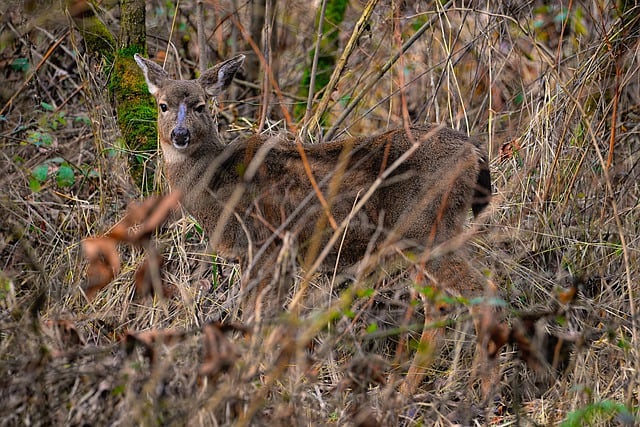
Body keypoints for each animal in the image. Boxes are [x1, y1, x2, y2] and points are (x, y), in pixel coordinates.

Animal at [132, 53, 498, 398]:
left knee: (479, 292)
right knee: (441, 305)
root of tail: (476, 152)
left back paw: (482, 390)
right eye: (162, 105)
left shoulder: (264, 245)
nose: (180, 134)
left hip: (425, 229)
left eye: (200, 105)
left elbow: (255, 317)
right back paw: (415, 390)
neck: (215, 187)